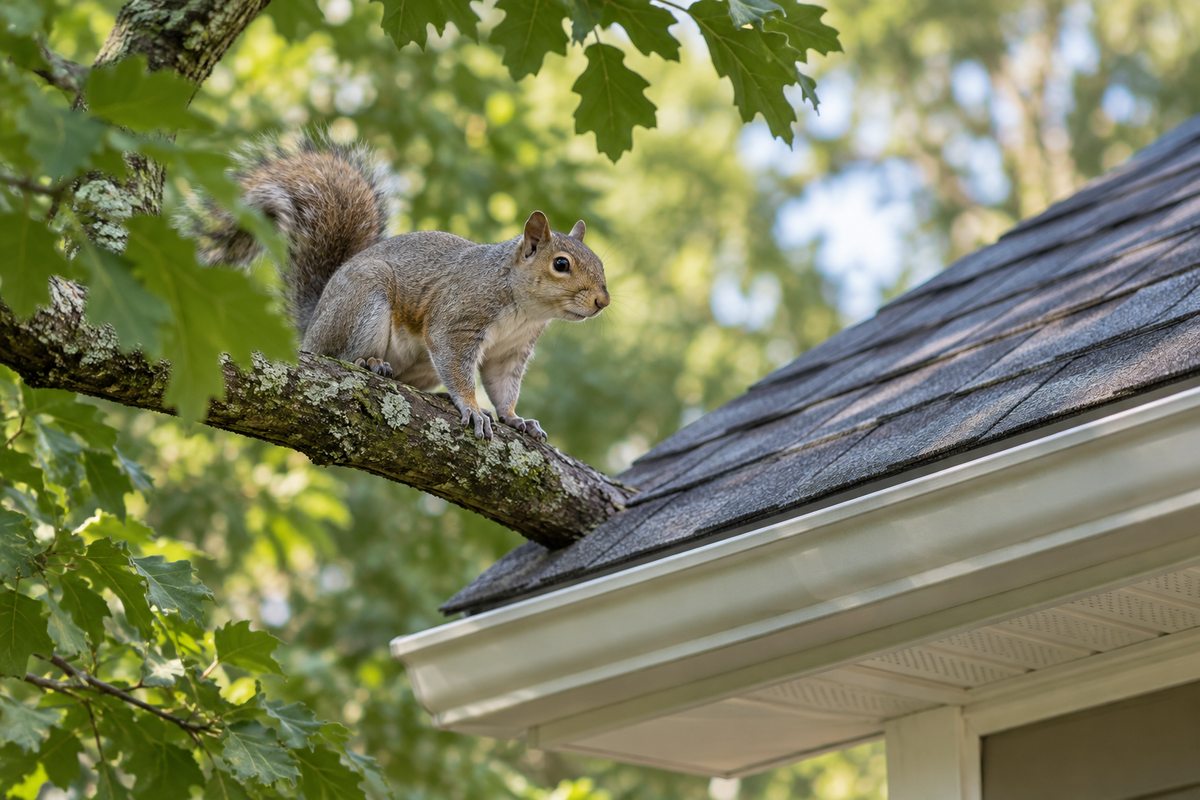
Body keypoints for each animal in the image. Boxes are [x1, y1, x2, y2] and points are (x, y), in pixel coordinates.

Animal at [186, 133, 609, 441]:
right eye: (561, 264)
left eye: (600, 263)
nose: (602, 301)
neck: (524, 308)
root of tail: (314, 320)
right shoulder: (458, 318)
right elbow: (456, 362)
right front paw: (472, 408)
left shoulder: (511, 351)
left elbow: (503, 387)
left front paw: (516, 418)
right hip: (363, 301)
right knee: (338, 355)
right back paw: (368, 362)